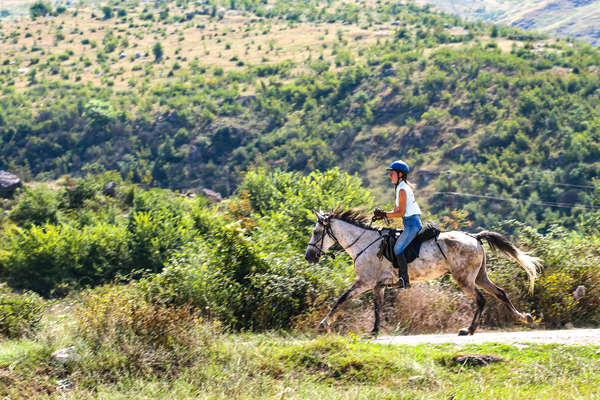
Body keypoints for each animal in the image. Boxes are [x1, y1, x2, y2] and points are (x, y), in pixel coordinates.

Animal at [304, 209, 540, 338]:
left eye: (316, 232)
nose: (309, 256)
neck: (364, 243)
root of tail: (474, 237)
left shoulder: (365, 282)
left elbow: (342, 299)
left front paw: (323, 324)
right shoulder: (378, 285)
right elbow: (378, 307)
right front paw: (374, 331)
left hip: (464, 279)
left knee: (481, 299)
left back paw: (469, 330)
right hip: (479, 276)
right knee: (500, 292)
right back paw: (524, 317)